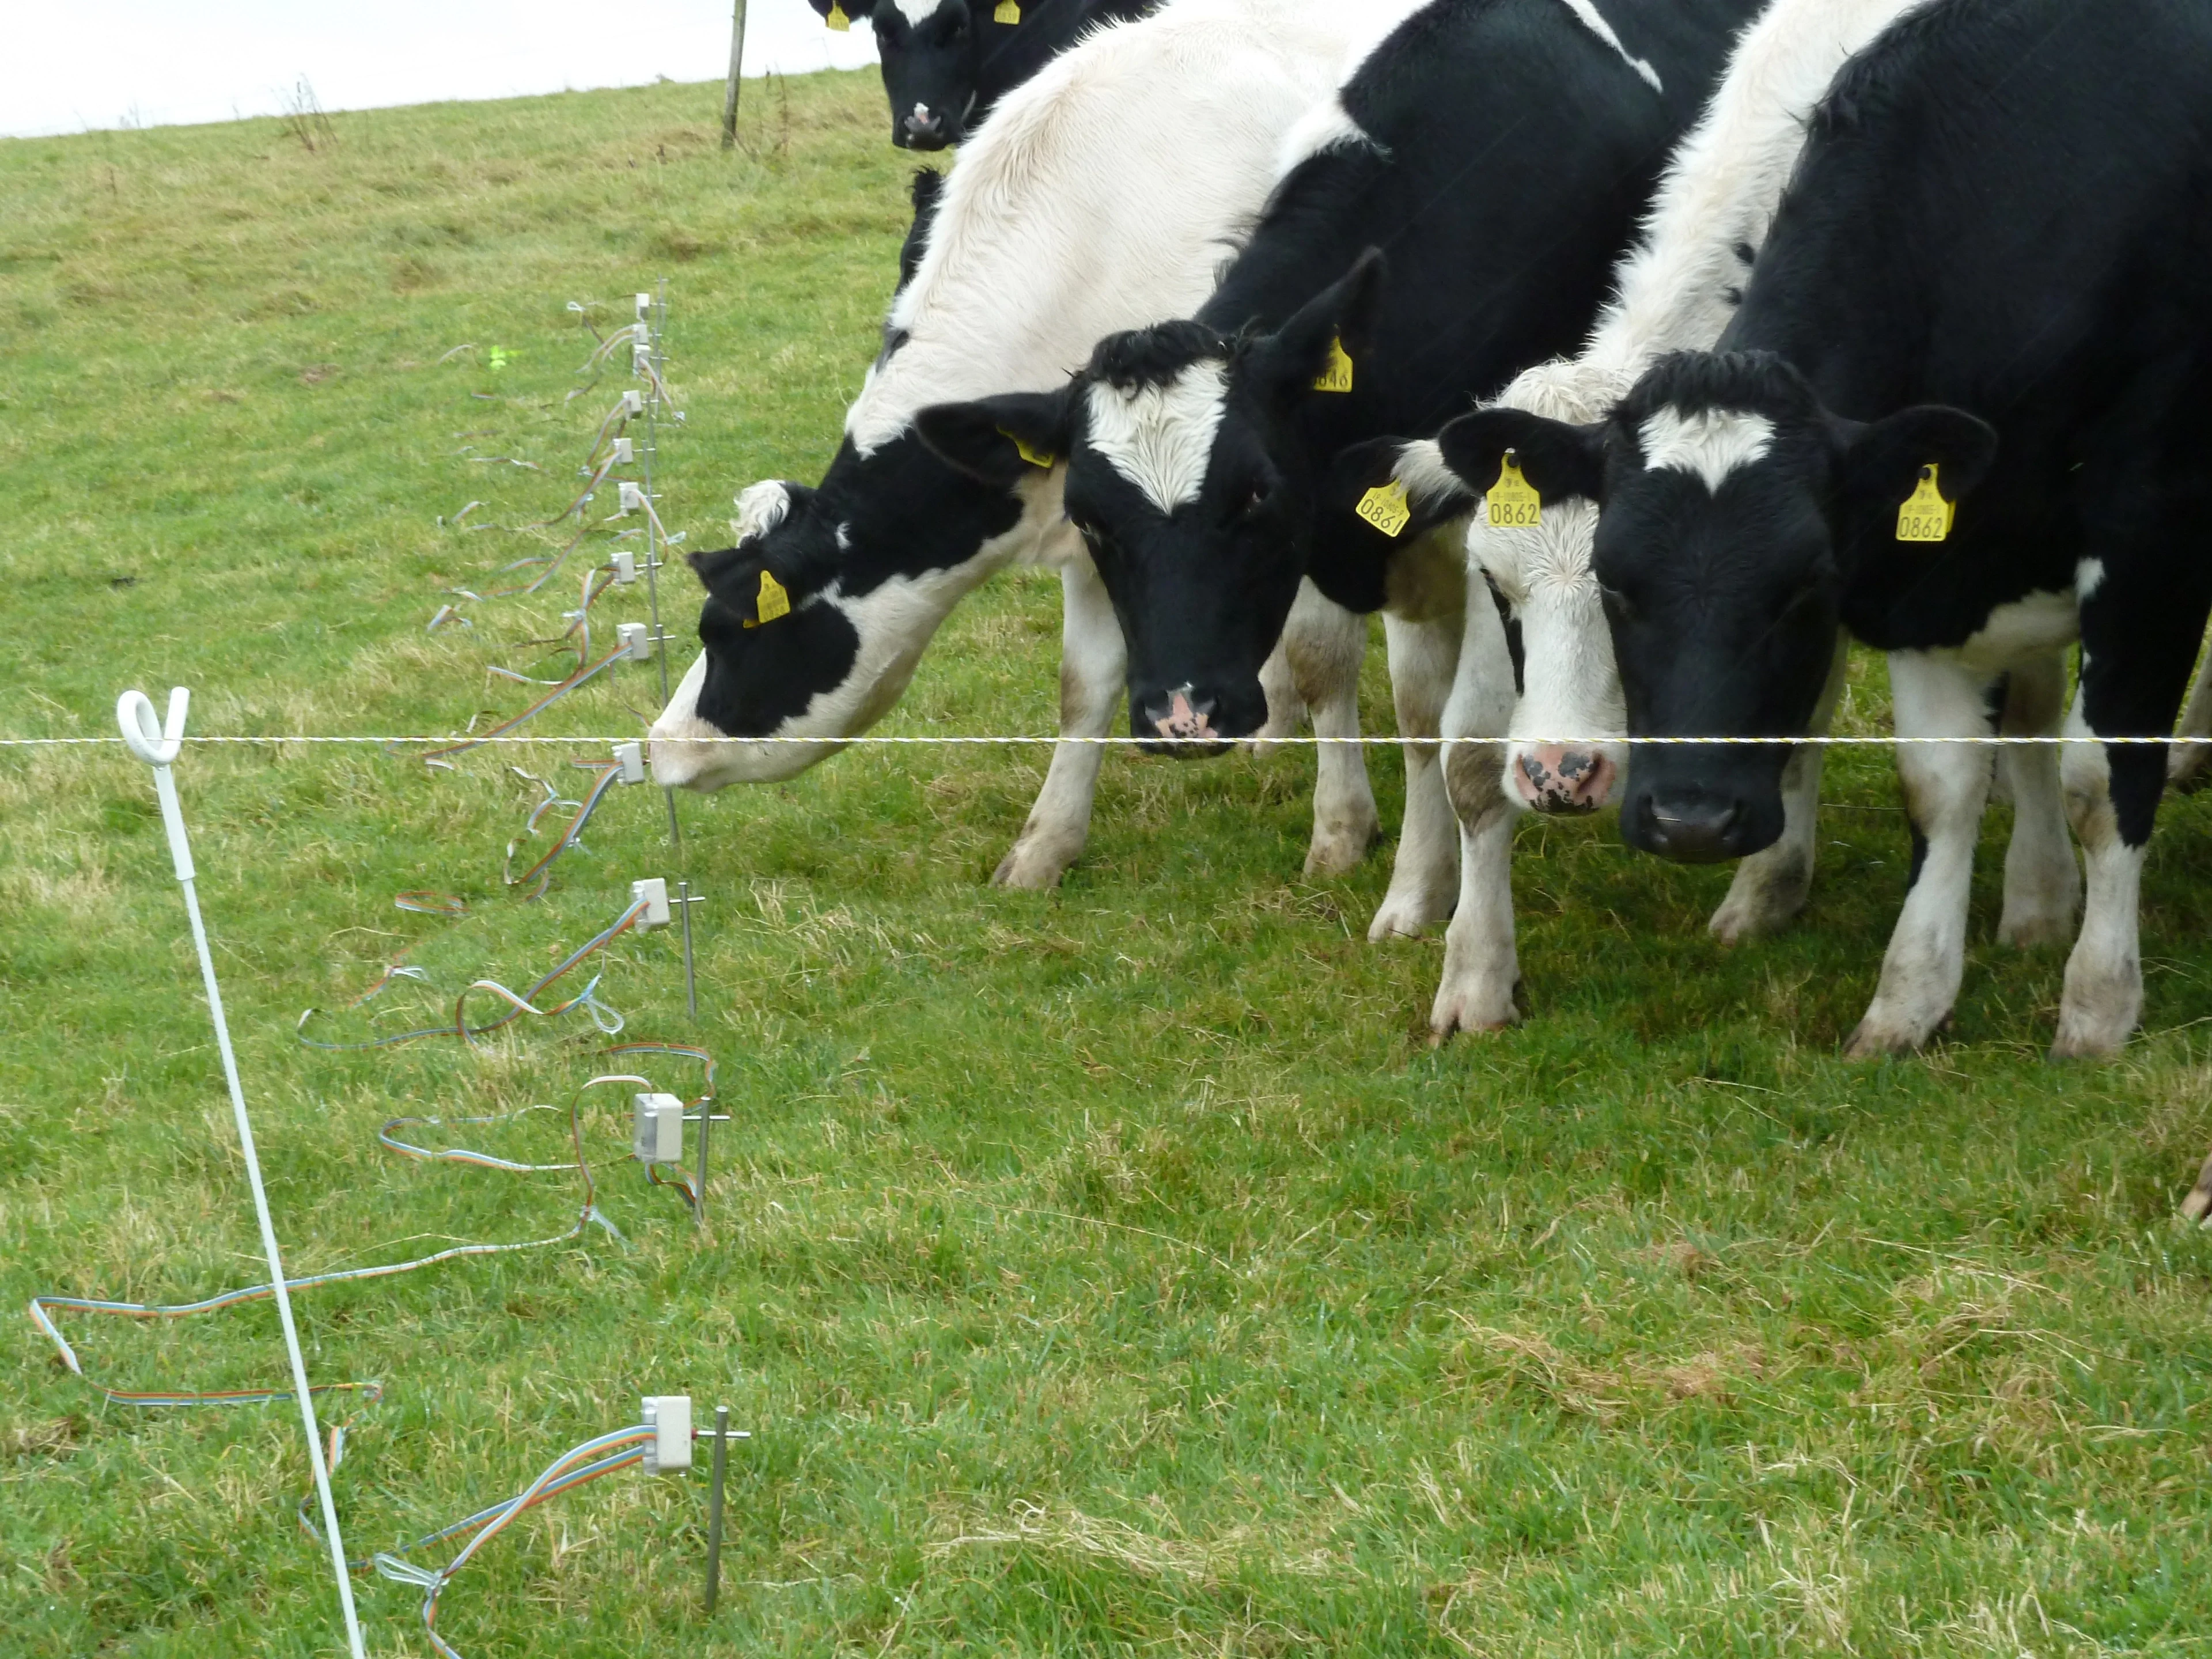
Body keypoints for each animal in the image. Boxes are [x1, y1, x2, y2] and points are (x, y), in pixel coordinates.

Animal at [651, 0, 1435, 895]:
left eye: (725, 631)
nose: (659, 750)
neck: (1088, 232)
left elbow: (1320, 655)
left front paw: (1341, 831)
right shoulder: (1098, 517)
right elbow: (1083, 686)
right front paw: (1042, 849)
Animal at [1434, 0, 2212, 1057]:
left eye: (1801, 582)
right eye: (1619, 582)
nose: (1565, 773)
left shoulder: (2149, 547)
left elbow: (2101, 780)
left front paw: (2096, 1004)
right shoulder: (1928, 579)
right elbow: (1937, 780)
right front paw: (1904, 992)